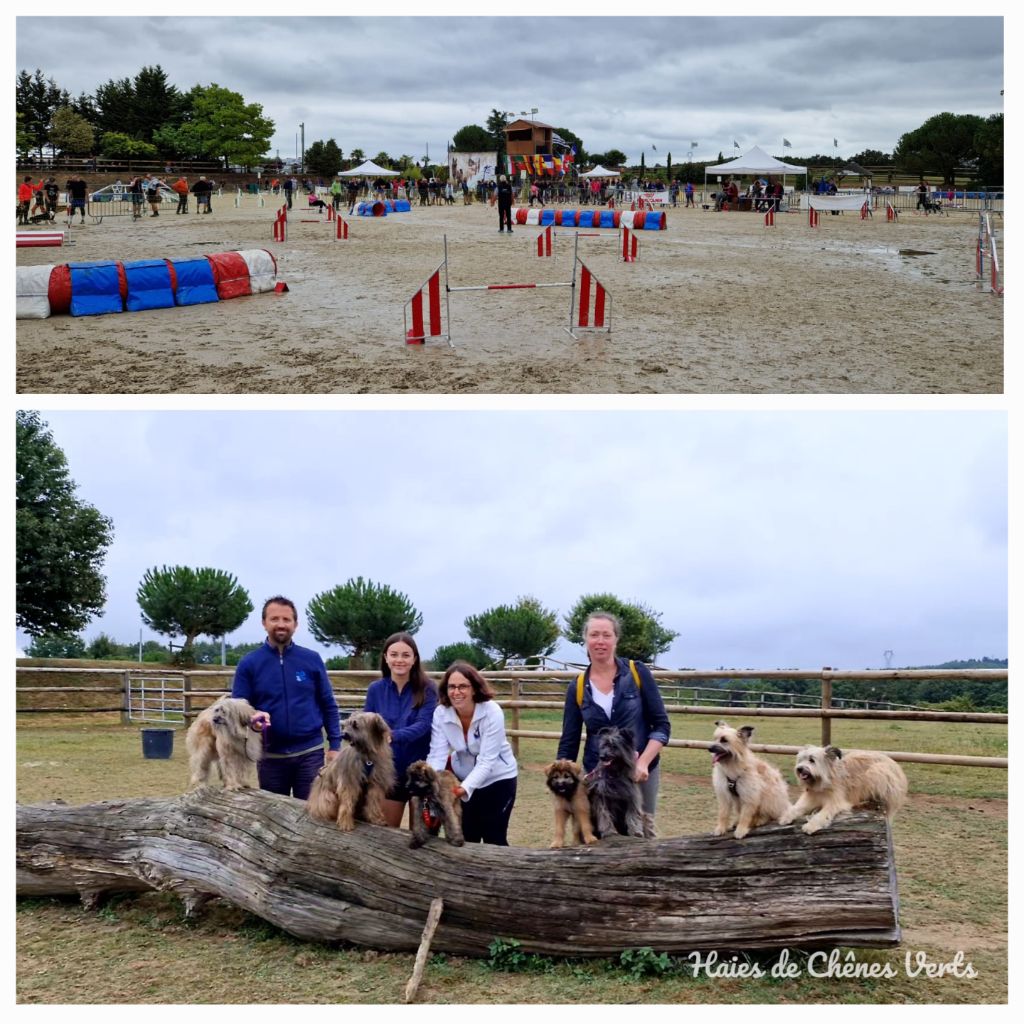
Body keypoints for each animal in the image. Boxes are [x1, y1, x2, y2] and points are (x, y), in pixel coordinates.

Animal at [778, 745, 909, 831]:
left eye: (811, 760)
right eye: (801, 760)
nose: (799, 769)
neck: (822, 783)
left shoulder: (836, 802)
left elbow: (823, 814)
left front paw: (811, 825)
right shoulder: (810, 798)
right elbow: (796, 808)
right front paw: (786, 816)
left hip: (877, 772)